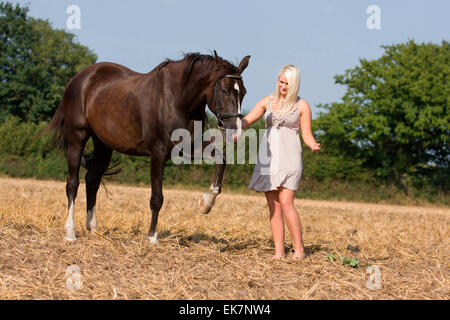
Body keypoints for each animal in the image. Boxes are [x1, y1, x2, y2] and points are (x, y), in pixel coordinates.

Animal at [44, 51, 251, 244]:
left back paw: (93, 228)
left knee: (92, 180)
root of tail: (77, 79)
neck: (177, 98)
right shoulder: (158, 153)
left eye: (243, 92)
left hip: (103, 144)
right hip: (77, 138)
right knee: (72, 183)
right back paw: (70, 232)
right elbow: (157, 198)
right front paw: (152, 237)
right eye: (224, 91)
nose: (235, 132)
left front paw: (206, 203)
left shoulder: (190, 149)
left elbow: (221, 160)